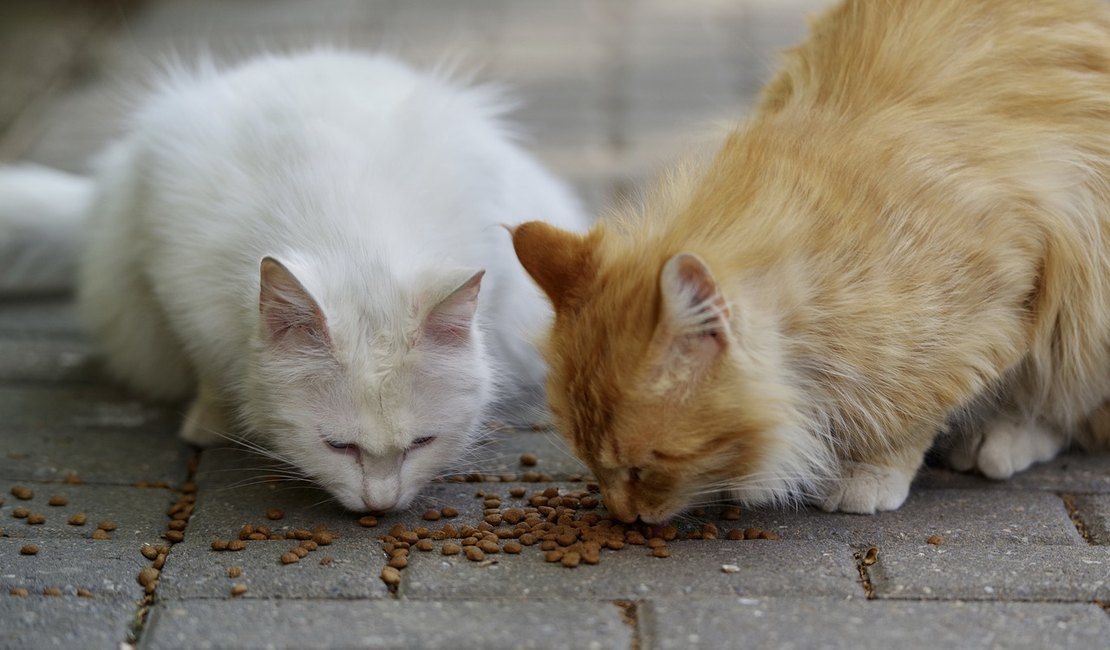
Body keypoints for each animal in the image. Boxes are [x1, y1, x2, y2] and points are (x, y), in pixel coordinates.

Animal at [0, 47, 586, 508]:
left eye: (420, 444)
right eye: (338, 446)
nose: (381, 504)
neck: (354, 242)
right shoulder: (178, 281)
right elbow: (211, 371)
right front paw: (210, 423)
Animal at [510, 0, 1110, 519]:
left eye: (643, 467)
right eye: (589, 463)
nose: (620, 514)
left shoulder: (1004, 300)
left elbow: (911, 409)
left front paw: (869, 472)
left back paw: (1001, 440)